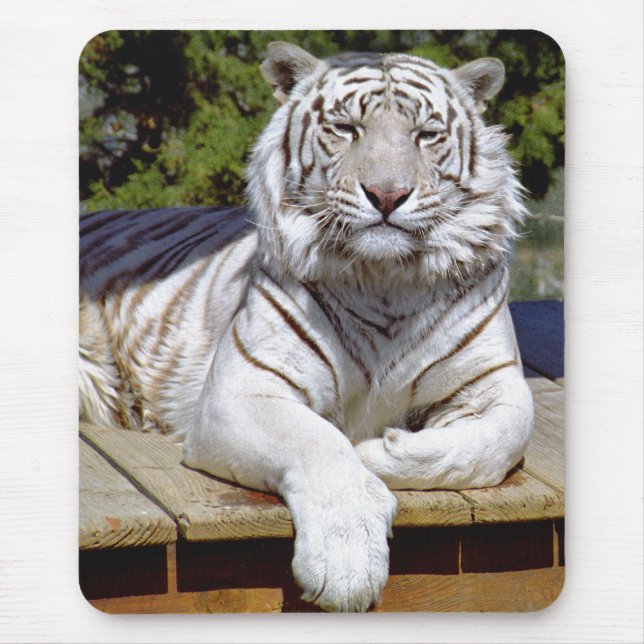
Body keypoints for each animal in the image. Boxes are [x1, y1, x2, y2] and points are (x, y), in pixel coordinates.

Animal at [79, 41, 533, 612]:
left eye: (426, 135)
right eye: (346, 128)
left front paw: (381, 452)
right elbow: (319, 443)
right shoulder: (243, 390)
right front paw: (347, 564)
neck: (385, 279)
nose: (388, 195)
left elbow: (493, 445)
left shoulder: (497, 384)